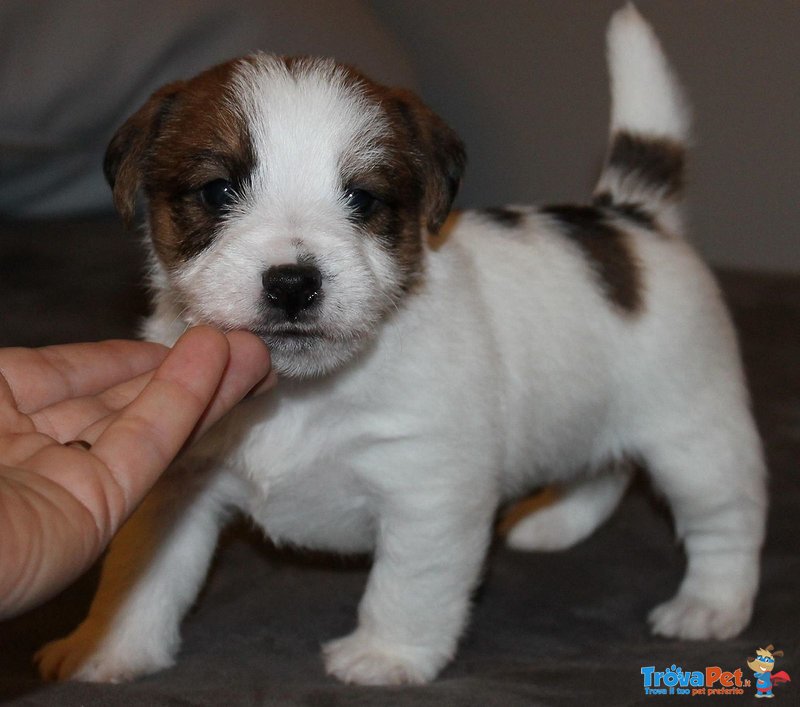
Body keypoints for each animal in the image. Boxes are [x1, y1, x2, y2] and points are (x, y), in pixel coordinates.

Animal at [37, 5, 768, 688]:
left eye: (362, 199)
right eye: (218, 190)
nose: (293, 283)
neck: (301, 393)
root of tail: (632, 217)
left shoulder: (429, 492)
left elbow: (409, 584)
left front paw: (386, 654)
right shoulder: (180, 482)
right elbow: (142, 573)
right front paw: (107, 646)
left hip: (693, 435)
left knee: (726, 516)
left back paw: (710, 604)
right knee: (602, 466)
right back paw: (556, 522)